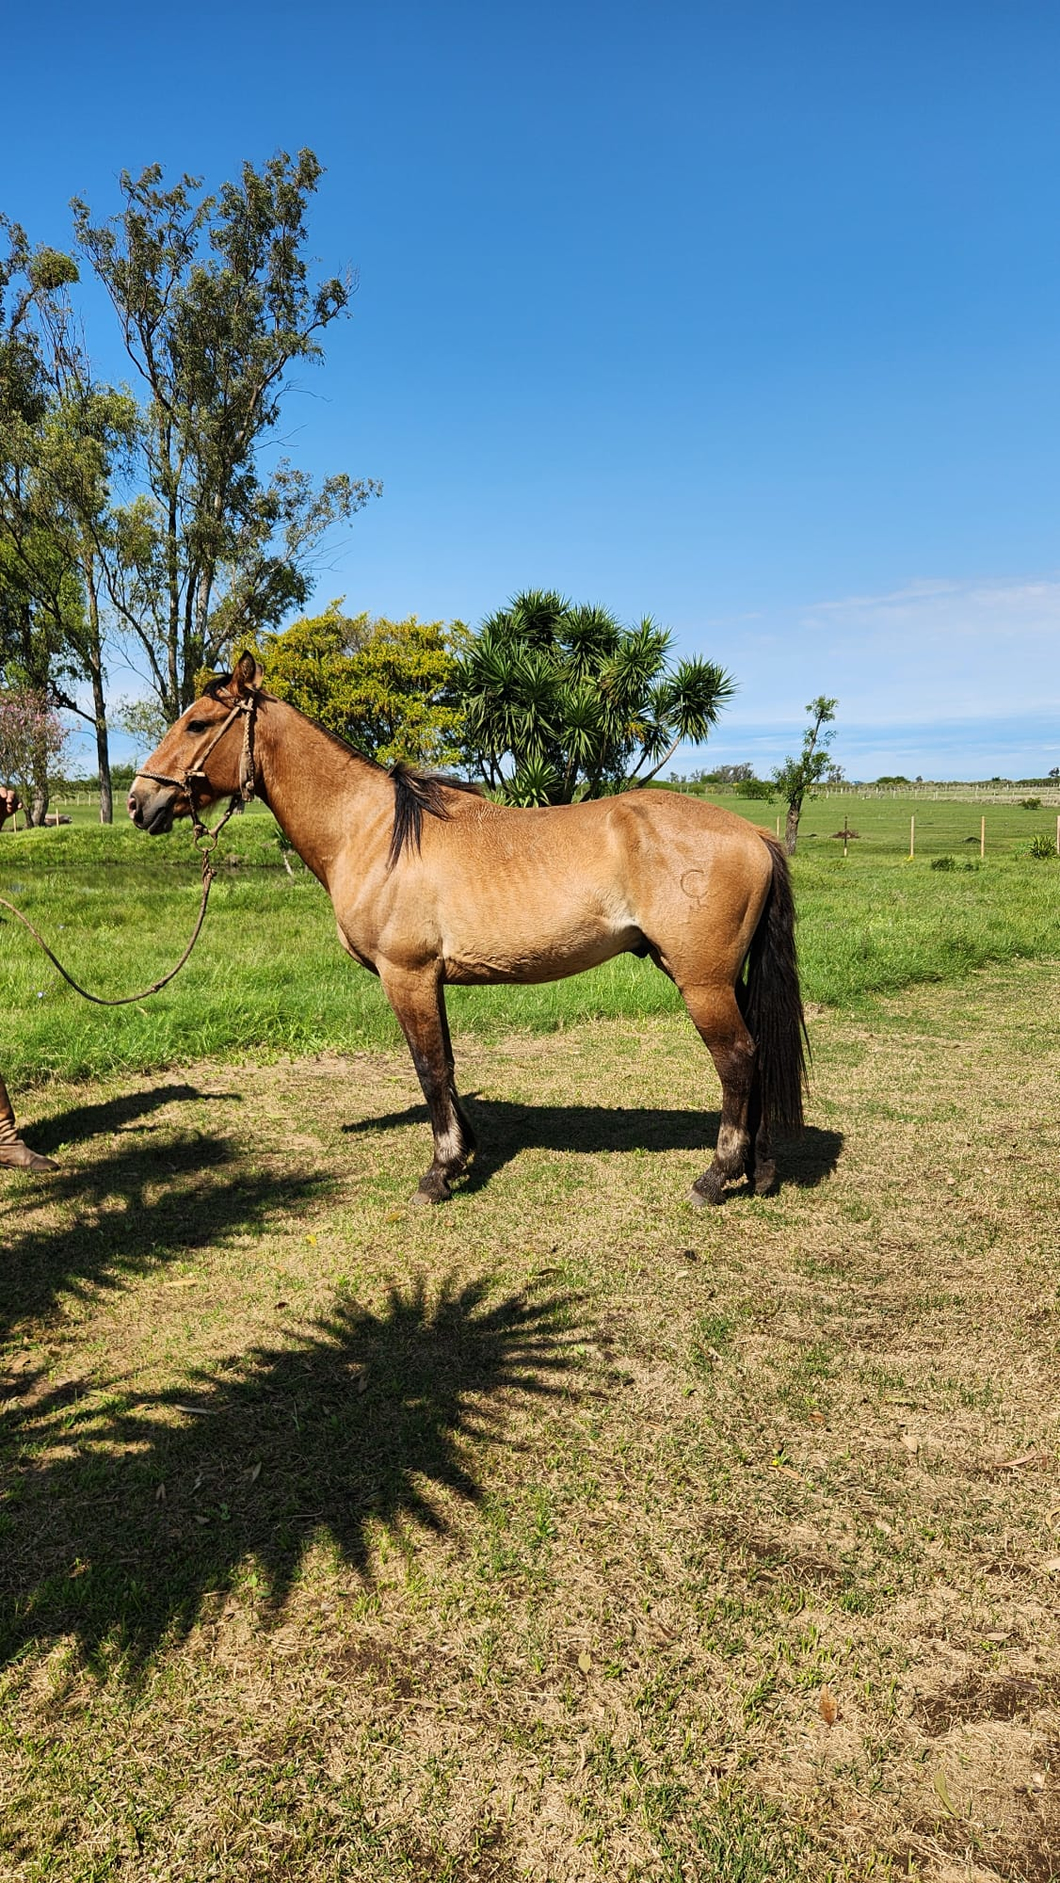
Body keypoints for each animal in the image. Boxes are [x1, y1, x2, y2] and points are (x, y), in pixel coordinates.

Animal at [128, 647, 805, 1205]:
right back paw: (759, 1171)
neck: (371, 831)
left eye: (195, 724)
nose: (139, 802)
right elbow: (447, 1065)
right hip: (724, 978)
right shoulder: (430, 979)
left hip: (702, 981)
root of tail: (755, 833)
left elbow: (429, 1067)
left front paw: (439, 1173)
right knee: (756, 1057)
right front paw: (464, 1151)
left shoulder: (406, 975)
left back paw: (715, 1178)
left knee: (739, 1059)